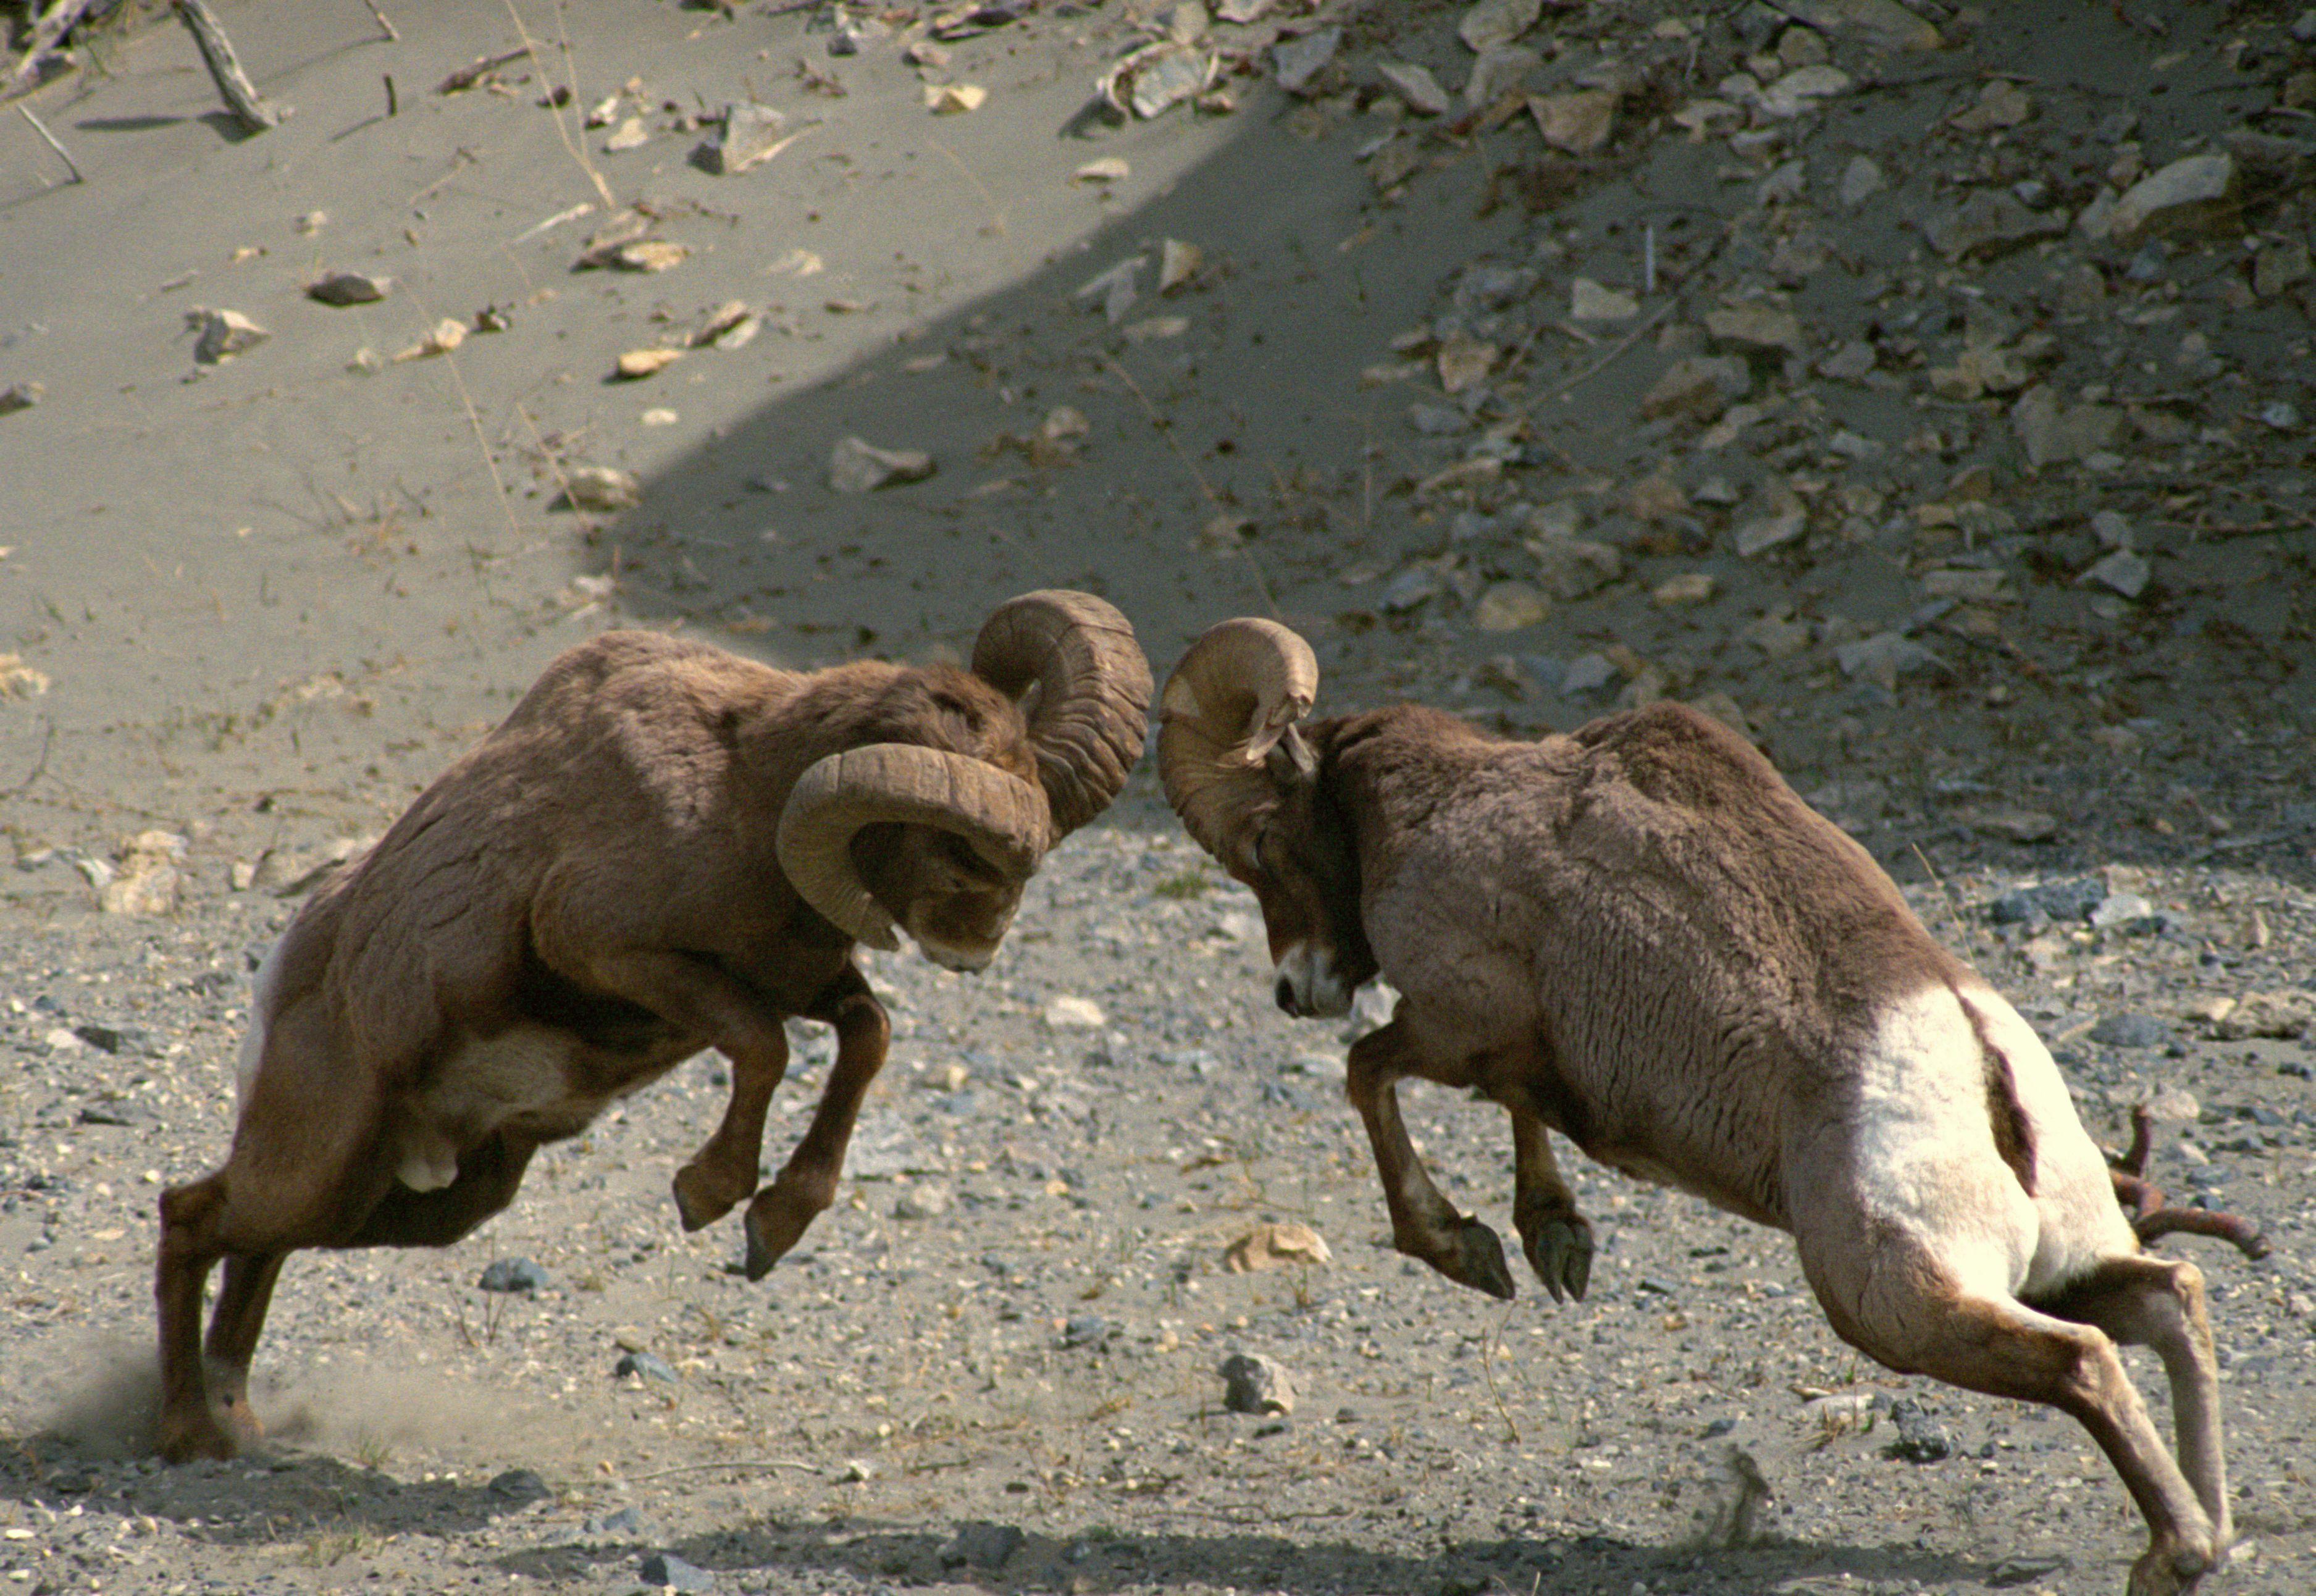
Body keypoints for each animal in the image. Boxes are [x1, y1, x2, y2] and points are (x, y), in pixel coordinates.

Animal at [155, 590, 1150, 1464]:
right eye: (959, 848)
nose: (978, 946)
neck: (741, 788)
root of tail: (282, 983)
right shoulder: (619, 952)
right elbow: (763, 1045)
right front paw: (710, 1199)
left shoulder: (803, 980)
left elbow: (865, 1037)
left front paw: (774, 1227)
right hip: (316, 1172)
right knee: (190, 1216)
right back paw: (194, 1436)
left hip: (412, 1205)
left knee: (255, 1253)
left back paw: (235, 1420)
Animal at [1157, 616, 2249, 1596]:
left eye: (1264, 842)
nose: (1293, 991)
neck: (1438, 806)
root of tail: (1985, 1077)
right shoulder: (1509, 1053)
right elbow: (1513, 1110)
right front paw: (1551, 1242)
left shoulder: (1455, 1022)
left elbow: (1367, 1071)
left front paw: (1467, 1250)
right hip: (2059, 1266)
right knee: (2169, 1298)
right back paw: (2205, 1536)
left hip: (1896, 1310)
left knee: (2085, 1362)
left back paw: (2176, 1554)